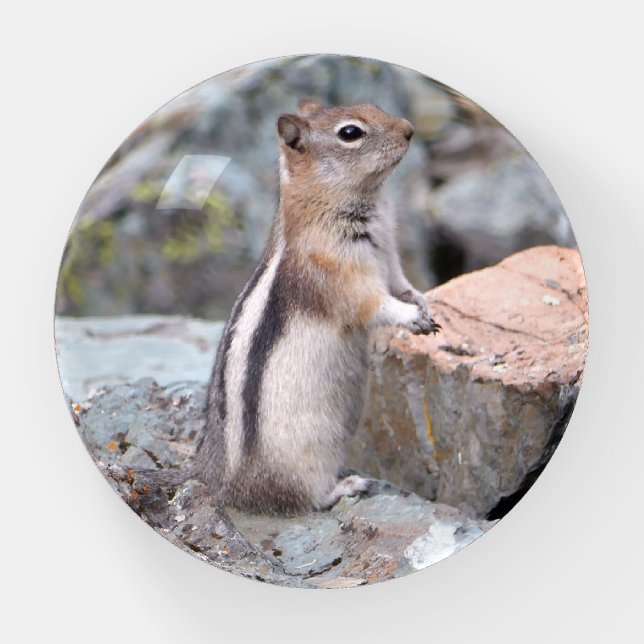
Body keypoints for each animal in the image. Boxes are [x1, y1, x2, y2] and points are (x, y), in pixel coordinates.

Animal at [142, 99, 440, 515]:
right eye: (350, 133)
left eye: (374, 105)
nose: (410, 130)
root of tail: (212, 475)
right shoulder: (341, 275)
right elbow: (374, 304)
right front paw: (410, 317)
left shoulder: (390, 256)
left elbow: (403, 285)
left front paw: (423, 306)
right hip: (307, 454)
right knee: (301, 497)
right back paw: (346, 486)